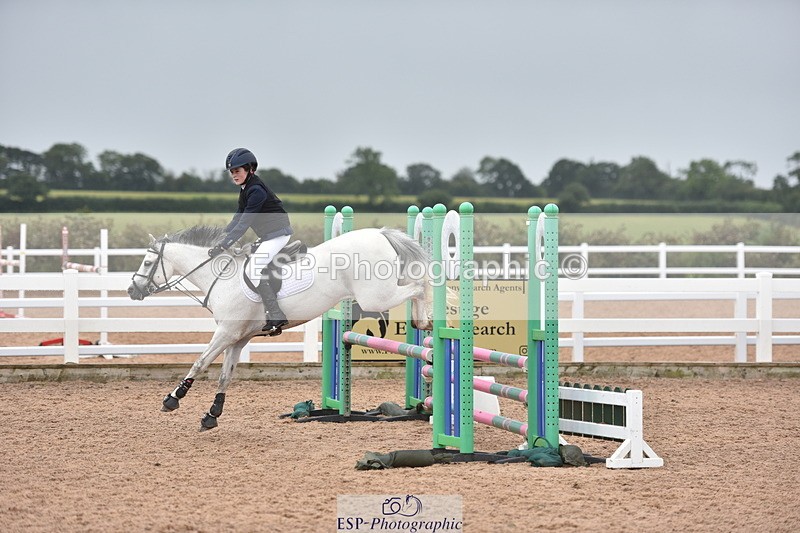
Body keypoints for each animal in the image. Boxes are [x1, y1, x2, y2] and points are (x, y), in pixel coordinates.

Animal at [127, 225, 432, 431]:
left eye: (148, 262)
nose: (132, 290)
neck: (222, 278)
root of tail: (378, 234)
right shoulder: (238, 338)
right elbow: (225, 375)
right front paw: (212, 414)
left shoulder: (225, 333)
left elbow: (200, 362)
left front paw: (173, 398)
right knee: (415, 285)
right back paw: (423, 323)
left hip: (375, 296)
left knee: (420, 284)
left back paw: (426, 320)